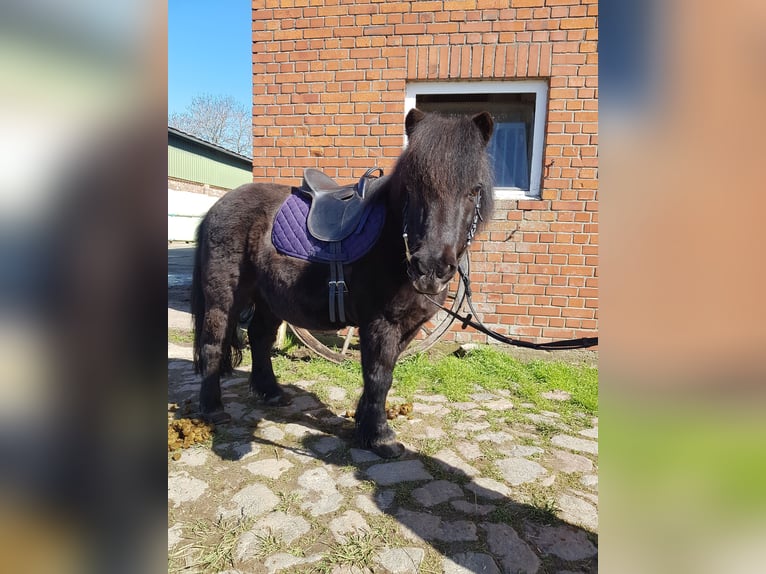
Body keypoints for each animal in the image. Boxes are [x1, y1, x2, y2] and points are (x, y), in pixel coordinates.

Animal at [191, 108, 495, 458]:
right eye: (414, 188)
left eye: (474, 190)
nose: (430, 268)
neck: (393, 241)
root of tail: (218, 207)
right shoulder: (380, 322)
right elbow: (379, 374)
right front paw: (380, 436)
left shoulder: (409, 327)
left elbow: (383, 373)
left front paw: (364, 422)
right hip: (223, 299)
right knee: (213, 346)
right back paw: (213, 409)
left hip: (269, 299)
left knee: (260, 337)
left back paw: (271, 392)